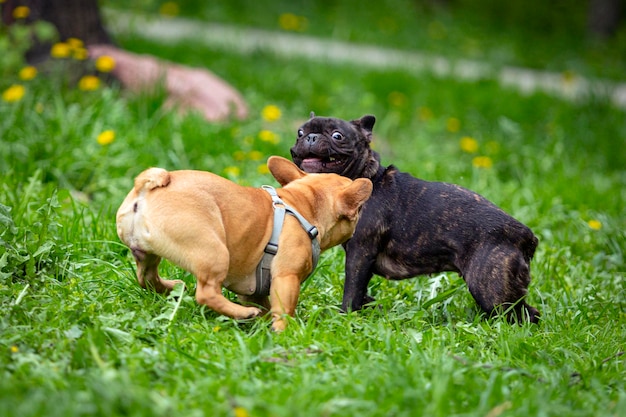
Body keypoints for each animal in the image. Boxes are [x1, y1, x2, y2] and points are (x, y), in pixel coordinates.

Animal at [290, 114, 540, 322]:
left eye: (337, 136)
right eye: (300, 132)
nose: (310, 137)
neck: (364, 178)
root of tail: (526, 237)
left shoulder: (359, 253)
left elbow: (352, 289)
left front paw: (346, 315)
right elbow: (362, 290)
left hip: (490, 288)